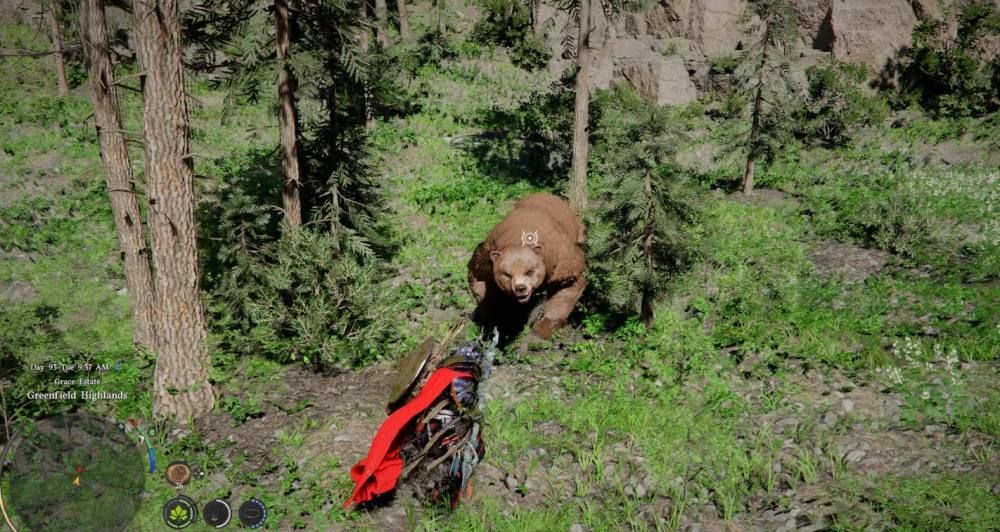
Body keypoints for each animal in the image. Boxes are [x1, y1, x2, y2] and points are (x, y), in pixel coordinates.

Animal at [467, 193, 587, 340]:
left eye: (530, 271)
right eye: (507, 274)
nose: (520, 288)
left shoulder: (560, 259)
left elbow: (572, 283)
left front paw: (542, 330)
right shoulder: (488, 254)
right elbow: (478, 280)